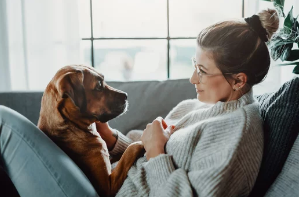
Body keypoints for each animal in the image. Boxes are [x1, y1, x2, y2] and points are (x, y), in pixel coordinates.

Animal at [37, 65, 145, 197]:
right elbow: (130, 150)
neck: (71, 126)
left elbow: (121, 155)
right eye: (99, 85)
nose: (126, 95)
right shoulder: (107, 187)